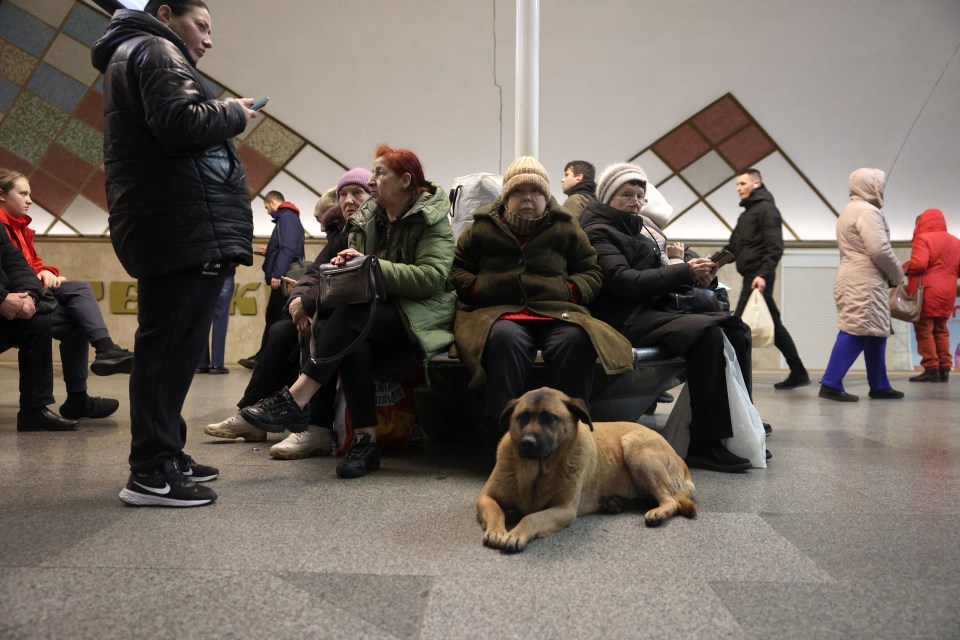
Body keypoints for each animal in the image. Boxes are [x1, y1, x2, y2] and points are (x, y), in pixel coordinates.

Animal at [476, 388, 692, 552]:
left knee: (671, 500)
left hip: (635, 448)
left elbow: (531, 518)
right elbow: (496, 511)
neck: (537, 470)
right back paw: (615, 503)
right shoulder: (486, 497)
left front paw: (516, 534)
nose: (527, 443)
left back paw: (657, 512)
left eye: (549, 418)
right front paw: (497, 531)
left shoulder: (564, 510)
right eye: (522, 417)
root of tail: (682, 463)